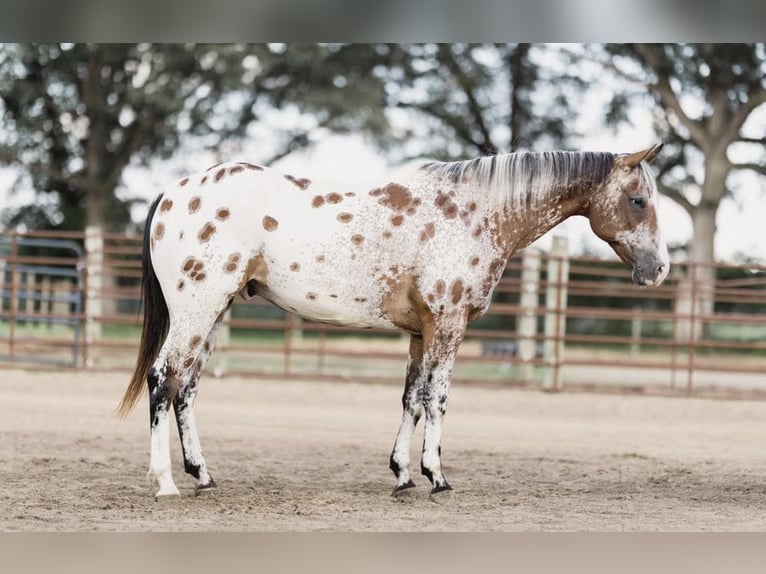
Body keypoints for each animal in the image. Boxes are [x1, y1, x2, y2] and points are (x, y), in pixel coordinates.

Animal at [120, 144, 672, 500]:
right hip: (197, 309)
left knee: (187, 386)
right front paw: (437, 477)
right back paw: (165, 482)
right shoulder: (448, 325)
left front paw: (403, 475)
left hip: (213, 313)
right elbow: (438, 398)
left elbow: (411, 397)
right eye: (638, 200)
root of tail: (173, 193)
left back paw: (202, 475)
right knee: (162, 379)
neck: (473, 212)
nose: (659, 269)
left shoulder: (419, 332)